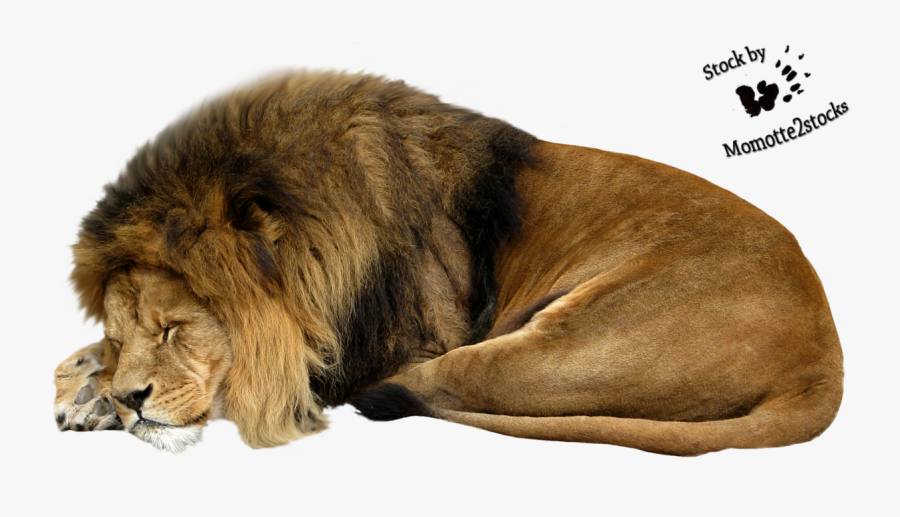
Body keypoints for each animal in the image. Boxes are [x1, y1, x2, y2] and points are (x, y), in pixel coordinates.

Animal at [53, 71, 843, 455]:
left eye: (175, 328)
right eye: (123, 334)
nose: (131, 399)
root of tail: (826, 355)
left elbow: (265, 379)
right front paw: (88, 389)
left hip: (564, 340)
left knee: (450, 381)